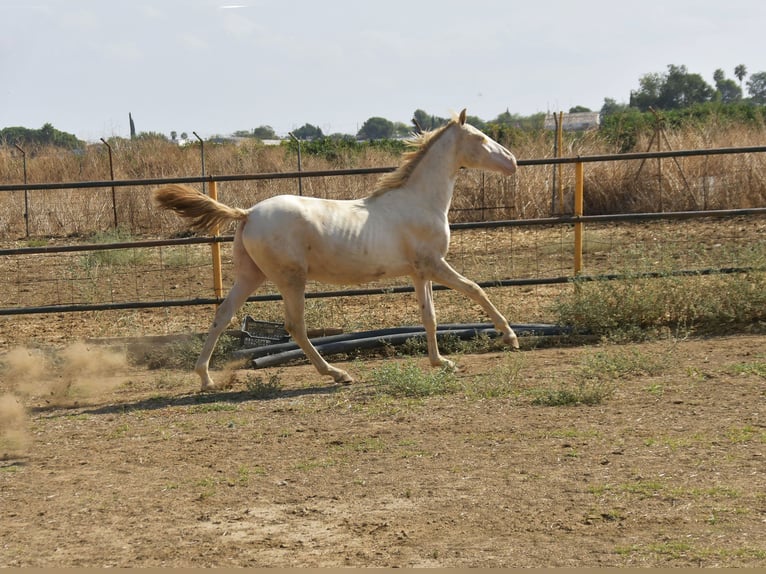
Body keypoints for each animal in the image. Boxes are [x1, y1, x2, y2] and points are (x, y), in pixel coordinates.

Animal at [153, 109, 520, 392]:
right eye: (480, 138)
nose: (513, 162)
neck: (419, 201)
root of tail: (247, 214)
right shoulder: (435, 264)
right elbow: (476, 289)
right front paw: (509, 337)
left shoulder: (419, 272)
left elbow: (429, 317)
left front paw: (441, 362)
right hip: (290, 279)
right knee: (295, 326)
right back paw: (337, 374)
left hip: (251, 275)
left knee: (222, 315)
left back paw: (206, 379)